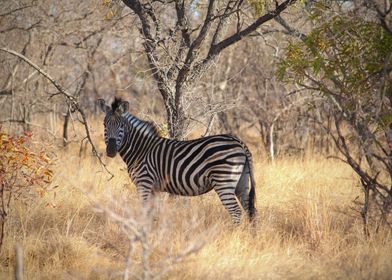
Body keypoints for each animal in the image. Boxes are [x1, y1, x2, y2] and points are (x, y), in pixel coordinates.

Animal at [98, 97, 258, 224]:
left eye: (122, 126)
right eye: (104, 125)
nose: (110, 150)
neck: (141, 150)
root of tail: (238, 142)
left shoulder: (144, 182)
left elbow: (144, 212)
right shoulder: (154, 188)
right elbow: (152, 213)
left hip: (224, 180)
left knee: (236, 212)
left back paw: (236, 237)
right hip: (241, 182)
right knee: (251, 211)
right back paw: (250, 238)